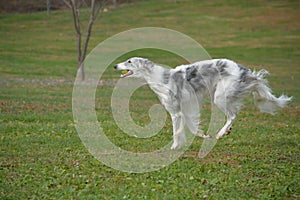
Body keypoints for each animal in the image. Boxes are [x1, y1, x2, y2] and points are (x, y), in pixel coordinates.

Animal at [113, 57, 292, 149]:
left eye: (129, 61)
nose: (115, 65)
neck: (161, 78)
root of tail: (245, 70)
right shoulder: (186, 108)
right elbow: (192, 127)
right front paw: (202, 135)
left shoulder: (175, 112)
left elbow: (177, 132)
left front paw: (174, 147)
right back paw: (225, 132)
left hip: (219, 97)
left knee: (232, 115)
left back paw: (221, 133)